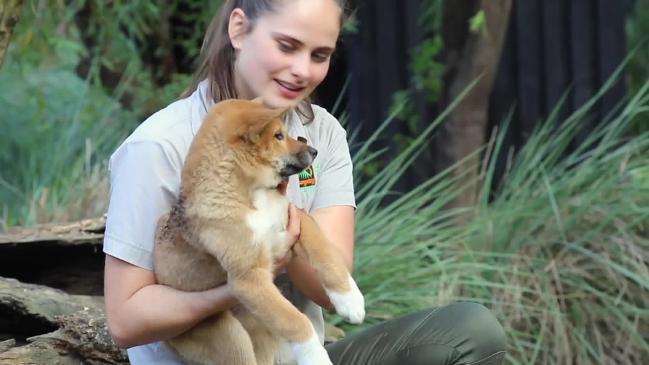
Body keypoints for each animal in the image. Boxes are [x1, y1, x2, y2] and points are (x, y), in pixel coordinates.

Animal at [154, 99, 362, 364]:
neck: (252, 195)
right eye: (279, 136)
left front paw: (350, 300)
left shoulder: (297, 218)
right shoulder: (249, 278)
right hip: (231, 337)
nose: (314, 151)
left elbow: (325, 253)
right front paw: (316, 356)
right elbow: (295, 321)